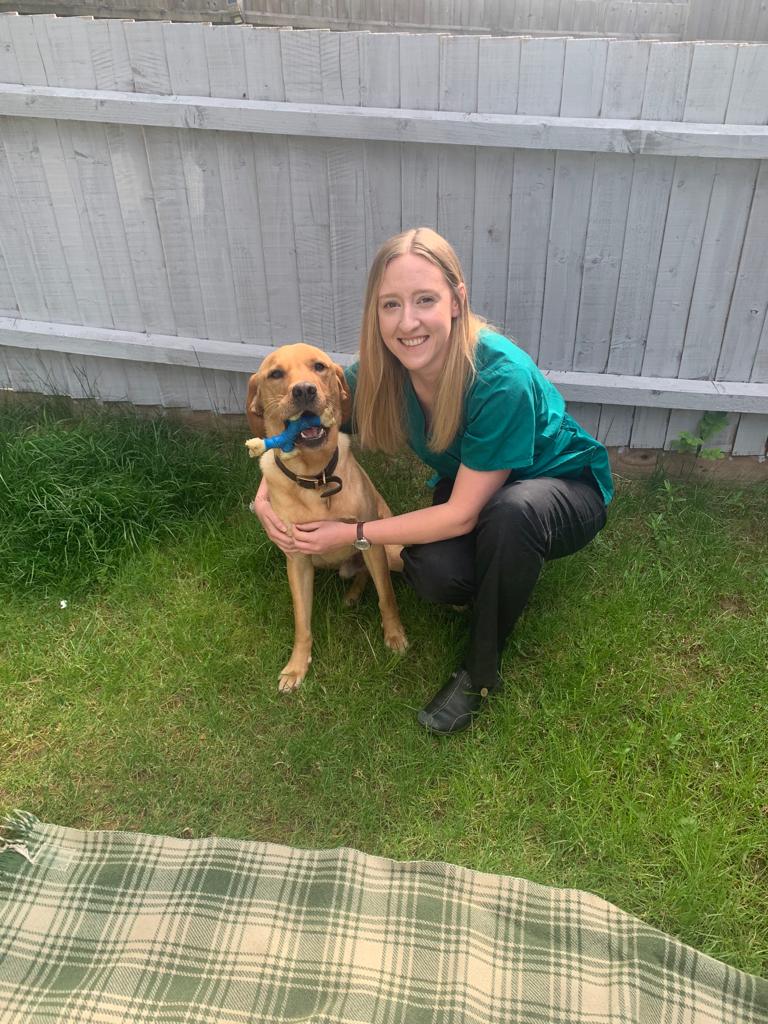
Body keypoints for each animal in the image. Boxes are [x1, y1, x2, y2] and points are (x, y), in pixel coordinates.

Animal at [247, 346, 409, 696]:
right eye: (275, 374)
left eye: (319, 367)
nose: (304, 390)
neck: (315, 478)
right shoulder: (296, 560)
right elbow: (301, 622)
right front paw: (297, 666)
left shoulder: (369, 540)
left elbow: (387, 597)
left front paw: (394, 636)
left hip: (391, 552)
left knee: (375, 576)